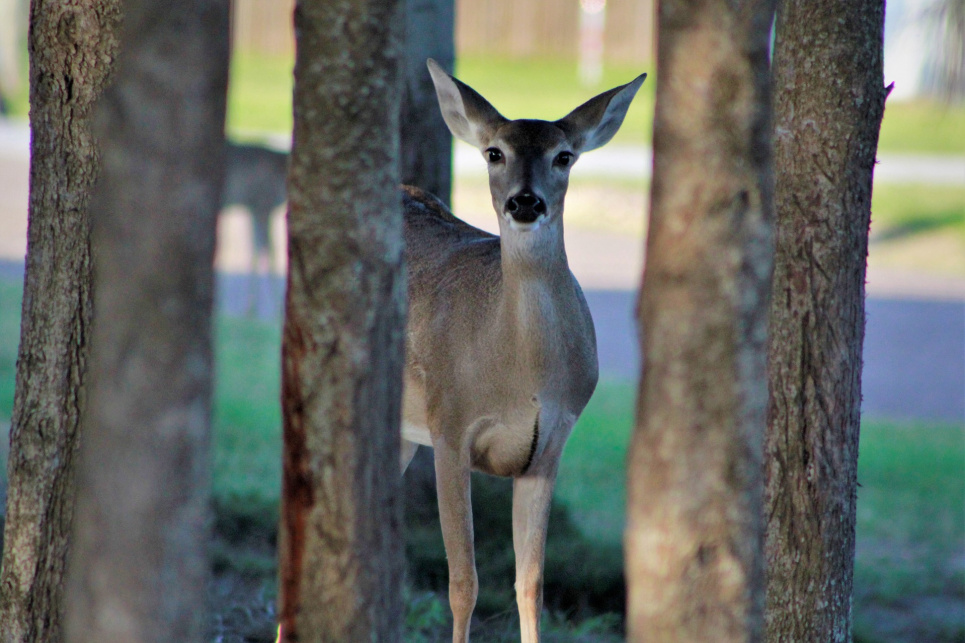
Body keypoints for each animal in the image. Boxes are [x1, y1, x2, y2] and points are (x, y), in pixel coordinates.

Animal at [402, 57, 648, 640]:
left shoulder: (550, 445)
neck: (522, 376)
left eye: (564, 156)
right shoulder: (449, 426)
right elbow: (463, 583)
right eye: (495, 153)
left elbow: (530, 584)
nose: (525, 201)